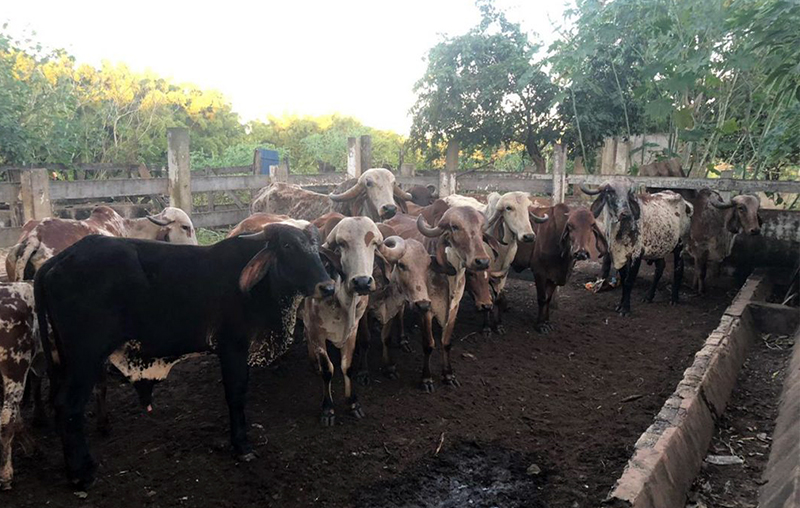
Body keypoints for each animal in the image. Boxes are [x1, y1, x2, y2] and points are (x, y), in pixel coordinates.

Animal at [32, 224, 332, 490]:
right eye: (287, 246)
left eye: (315, 247)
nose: (327, 287)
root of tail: (59, 260)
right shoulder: (232, 347)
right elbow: (236, 395)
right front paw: (241, 445)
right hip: (85, 357)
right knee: (67, 406)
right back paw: (81, 474)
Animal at [512, 204, 608, 332]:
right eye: (570, 225)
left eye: (592, 225)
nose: (581, 253)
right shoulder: (539, 272)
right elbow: (542, 298)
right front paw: (540, 325)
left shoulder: (554, 277)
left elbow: (548, 299)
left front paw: (546, 322)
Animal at [580, 181, 692, 316]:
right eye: (609, 192)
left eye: (629, 194)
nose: (625, 213)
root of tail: (684, 202)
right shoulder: (618, 256)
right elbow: (624, 280)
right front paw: (620, 305)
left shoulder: (636, 255)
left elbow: (629, 281)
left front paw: (625, 309)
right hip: (658, 247)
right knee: (660, 268)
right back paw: (649, 296)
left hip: (680, 244)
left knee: (679, 268)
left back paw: (674, 298)